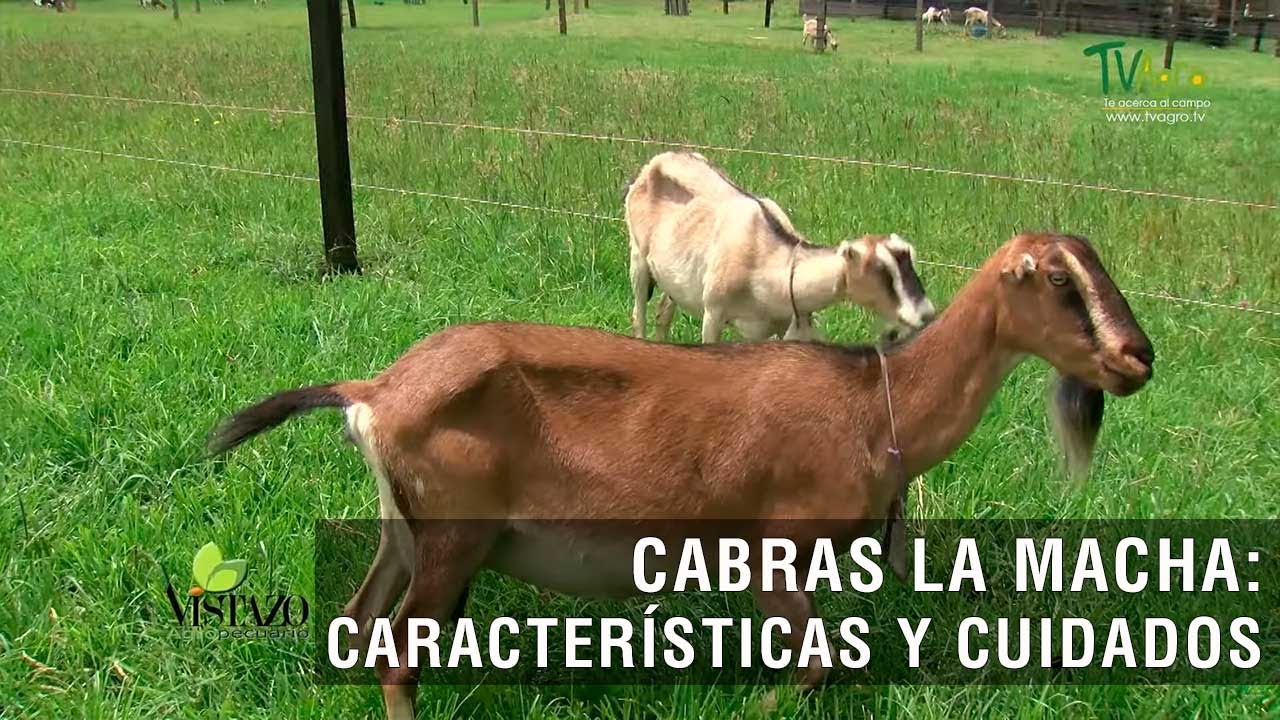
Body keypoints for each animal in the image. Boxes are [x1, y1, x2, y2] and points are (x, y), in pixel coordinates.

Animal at [209, 232, 1154, 719]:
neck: (874, 407)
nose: (1136, 358)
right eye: (1060, 281)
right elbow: (811, 665)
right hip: (454, 536)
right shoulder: (775, 545)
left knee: (358, 619)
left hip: (402, 528)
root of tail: (374, 391)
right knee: (399, 650)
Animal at [624, 151, 932, 343]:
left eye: (911, 260)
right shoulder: (713, 312)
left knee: (664, 313)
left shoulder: (784, 325)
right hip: (638, 257)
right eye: (878, 271)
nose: (925, 314)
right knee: (639, 315)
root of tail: (660, 159)